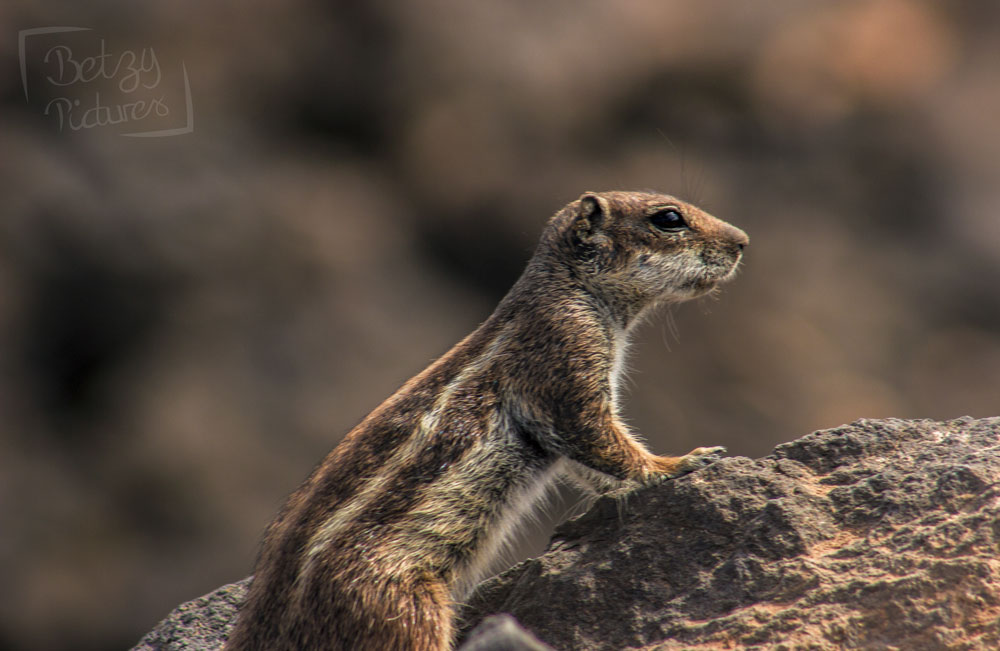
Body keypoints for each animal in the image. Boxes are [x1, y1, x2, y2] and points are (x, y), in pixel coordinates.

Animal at [225, 191, 744, 648]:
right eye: (669, 218)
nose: (743, 241)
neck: (571, 289)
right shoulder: (565, 357)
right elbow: (600, 438)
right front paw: (683, 461)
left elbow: (589, 461)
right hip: (400, 607)